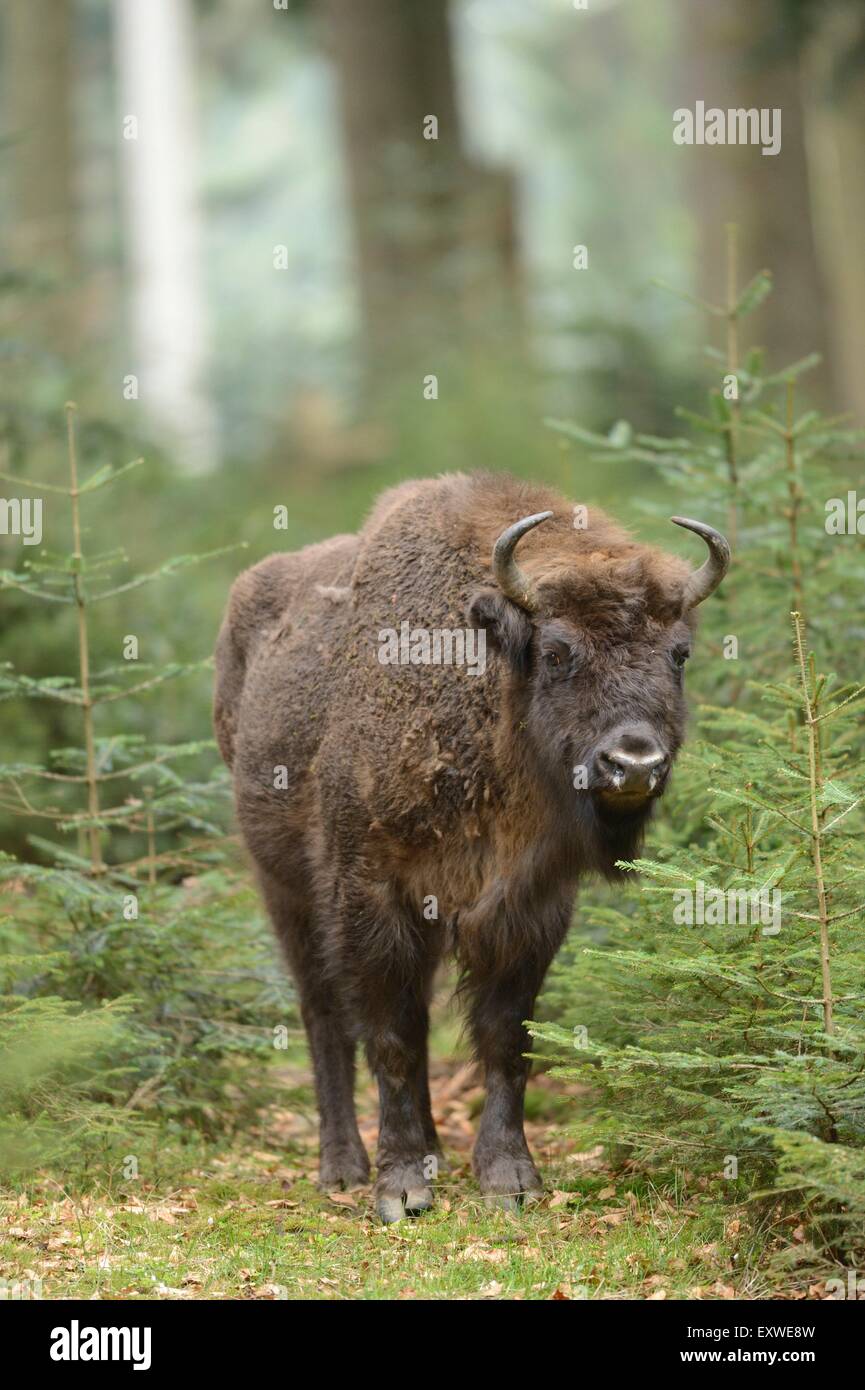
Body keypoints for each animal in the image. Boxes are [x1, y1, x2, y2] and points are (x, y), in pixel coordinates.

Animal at [214, 472, 728, 1223]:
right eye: (556, 651)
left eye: (678, 654)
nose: (632, 762)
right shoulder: (369, 893)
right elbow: (391, 1037)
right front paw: (400, 1188)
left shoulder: (529, 904)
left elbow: (505, 1034)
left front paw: (510, 1177)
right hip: (285, 890)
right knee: (324, 1018)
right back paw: (343, 1167)